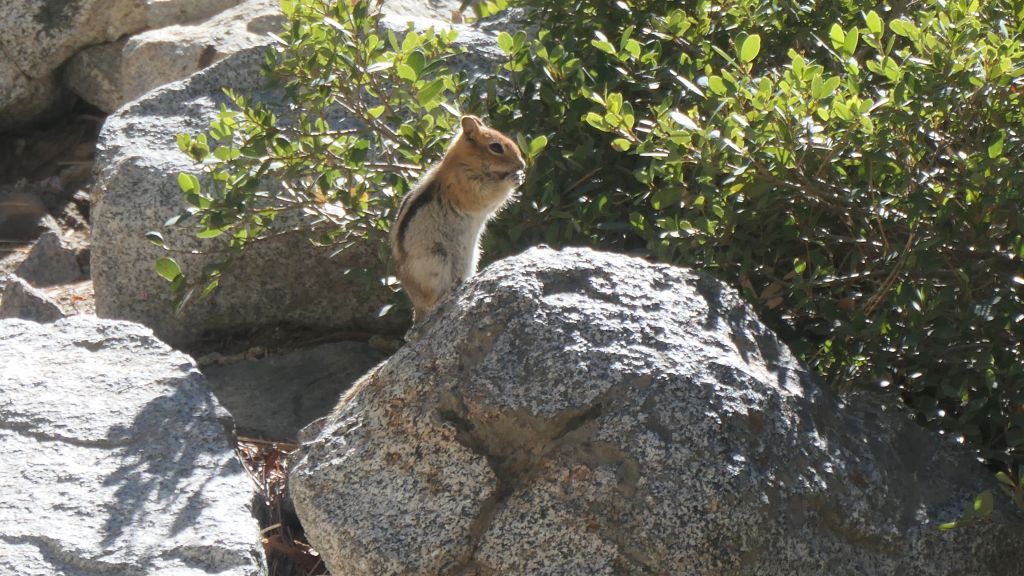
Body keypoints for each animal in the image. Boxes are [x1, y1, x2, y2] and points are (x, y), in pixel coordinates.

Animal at [387, 115, 524, 323]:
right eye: (496, 147)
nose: (522, 164)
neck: (462, 161)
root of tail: (416, 306)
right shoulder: (465, 186)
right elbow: (489, 195)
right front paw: (512, 179)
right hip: (437, 259)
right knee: (433, 299)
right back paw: (448, 292)